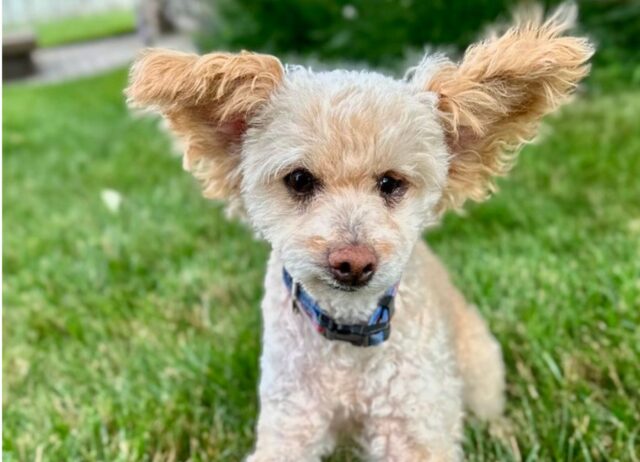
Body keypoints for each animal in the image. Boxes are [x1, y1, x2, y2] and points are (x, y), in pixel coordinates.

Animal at [126, 5, 596, 460]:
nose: (353, 262)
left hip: (479, 367)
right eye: (299, 180)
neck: (347, 336)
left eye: (391, 183)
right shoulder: (291, 421)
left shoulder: (413, 425)